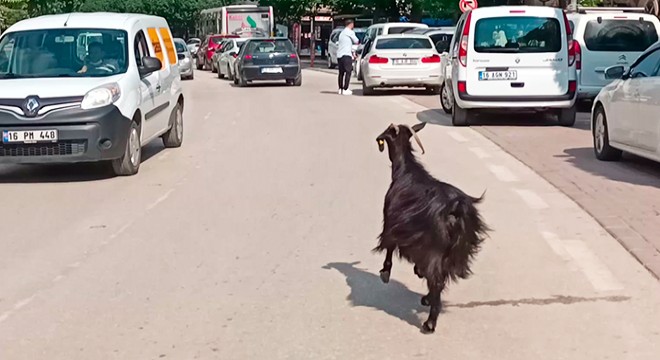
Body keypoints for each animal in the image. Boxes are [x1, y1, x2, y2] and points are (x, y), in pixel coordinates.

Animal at [374, 122, 488, 334]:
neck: (405, 171)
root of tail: (456, 209)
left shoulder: (391, 221)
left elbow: (389, 246)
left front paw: (385, 272)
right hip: (454, 251)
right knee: (439, 277)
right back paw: (428, 300)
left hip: (436, 248)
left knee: (436, 279)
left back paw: (429, 323)